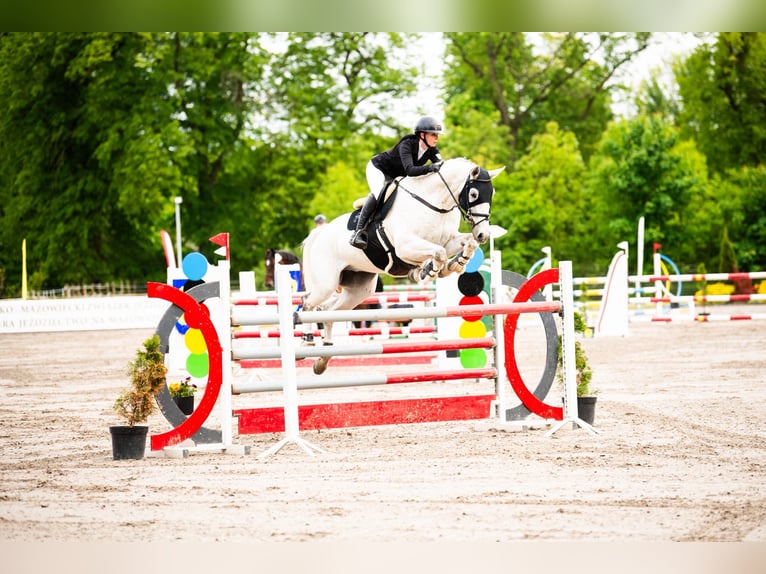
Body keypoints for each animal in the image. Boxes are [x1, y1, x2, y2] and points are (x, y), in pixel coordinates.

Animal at [301, 157, 504, 374]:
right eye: (474, 194)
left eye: (492, 193)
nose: (483, 234)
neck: (436, 204)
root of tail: (319, 234)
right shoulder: (405, 246)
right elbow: (438, 253)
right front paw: (428, 272)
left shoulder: (447, 240)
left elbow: (466, 244)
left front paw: (455, 264)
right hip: (326, 284)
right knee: (307, 304)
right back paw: (307, 343)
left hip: (359, 289)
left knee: (327, 311)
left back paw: (323, 358)